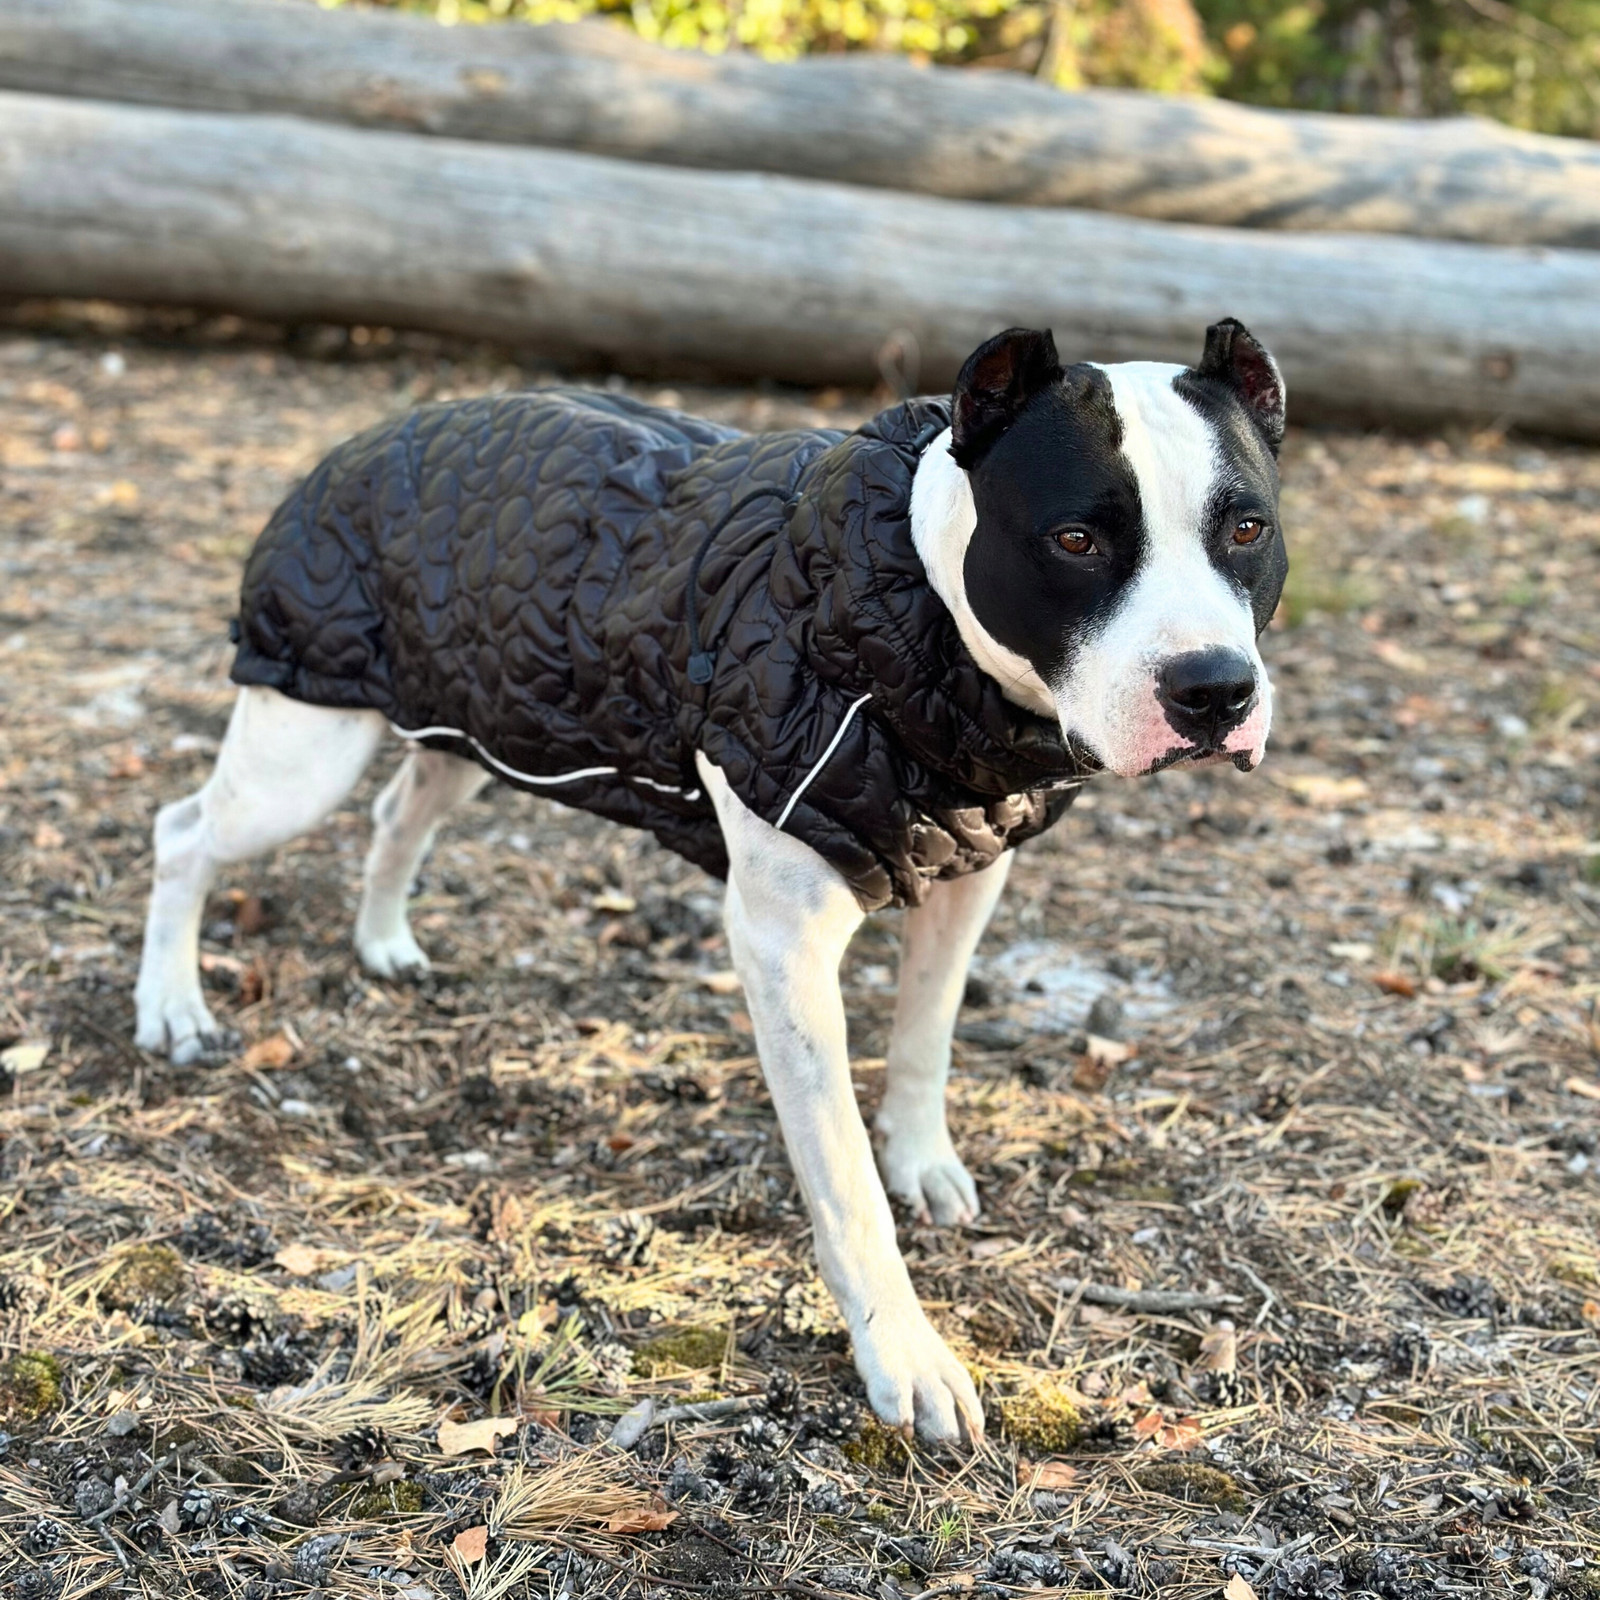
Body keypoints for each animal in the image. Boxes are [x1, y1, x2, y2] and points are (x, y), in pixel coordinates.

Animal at [134, 318, 1286, 1446]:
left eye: (1247, 530)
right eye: (1075, 540)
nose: (1213, 689)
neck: (907, 611)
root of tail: (363, 439)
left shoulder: (971, 872)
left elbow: (926, 1037)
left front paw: (919, 1156)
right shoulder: (785, 942)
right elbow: (843, 1183)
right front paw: (904, 1356)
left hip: (474, 716)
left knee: (395, 815)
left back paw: (381, 940)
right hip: (302, 744)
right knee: (185, 832)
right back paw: (174, 1005)